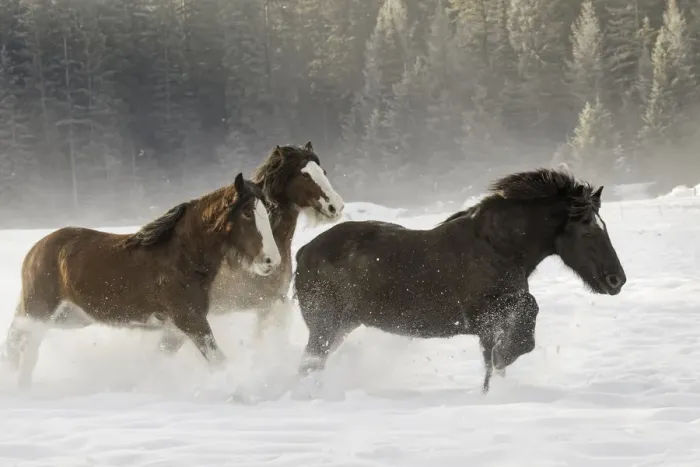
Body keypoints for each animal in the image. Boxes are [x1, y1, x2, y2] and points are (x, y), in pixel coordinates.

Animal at [1, 173, 282, 388]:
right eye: (247, 213)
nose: (272, 260)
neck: (183, 258)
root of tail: (36, 248)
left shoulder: (176, 330)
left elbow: (155, 362)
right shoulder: (190, 321)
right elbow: (218, 360)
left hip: (68, 317)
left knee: (26, 345)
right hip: (39, 310)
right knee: (18, 341)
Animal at [292, 168, 627, 394]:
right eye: (588, 230)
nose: (617, 280)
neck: (497, 247)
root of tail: (303, 252)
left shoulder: (489, 328)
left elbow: (492, 366)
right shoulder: (484, 317)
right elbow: (526, 317)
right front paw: (507, 356)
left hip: (341, 327)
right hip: (324, 327)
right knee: (309, 364)